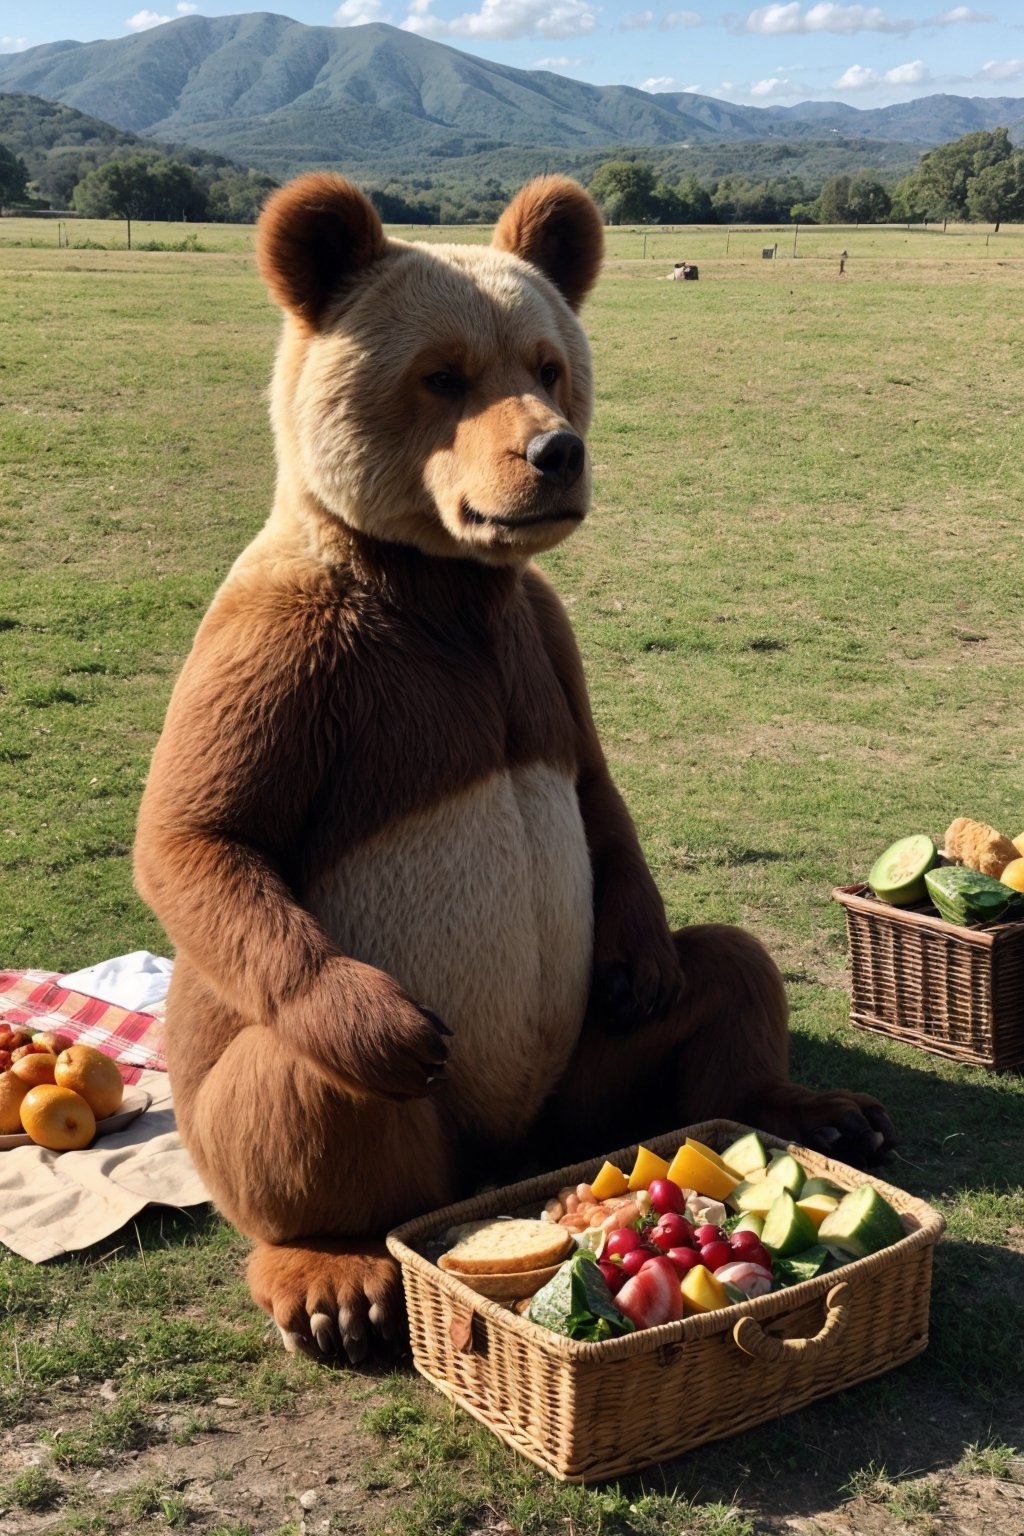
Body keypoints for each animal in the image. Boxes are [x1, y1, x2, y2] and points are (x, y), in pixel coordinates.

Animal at [132, 174, 890, 1363]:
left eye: (548, 364)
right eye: (442, 373)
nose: (554, 453)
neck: (446, 586)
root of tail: (504, 1152)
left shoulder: (541, 641)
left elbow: (596, 798)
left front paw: (651, 960)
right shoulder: (292, 645)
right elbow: (201, 833)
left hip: (581, 1073)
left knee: (730, 969)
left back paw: (811, 1107)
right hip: (356, 1089)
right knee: (313, 1090)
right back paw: (335, 1272)